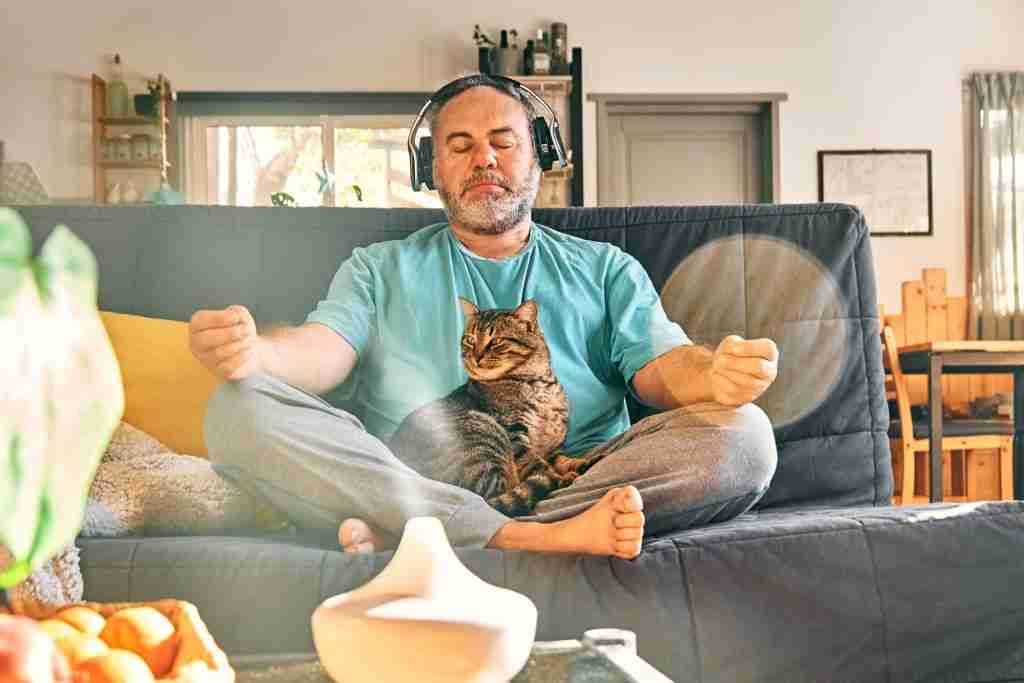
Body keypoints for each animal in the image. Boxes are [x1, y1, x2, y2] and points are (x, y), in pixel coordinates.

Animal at [387, 296, 602, 516]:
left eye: (496, 341)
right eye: (470, 340)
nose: (476, 356)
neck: (539, 384)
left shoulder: (553, 446)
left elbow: (562, 460)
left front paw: (581, 463)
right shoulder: (516, 435)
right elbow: (539, 466)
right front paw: (561, 477)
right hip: (484, 436)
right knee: (502, 493)